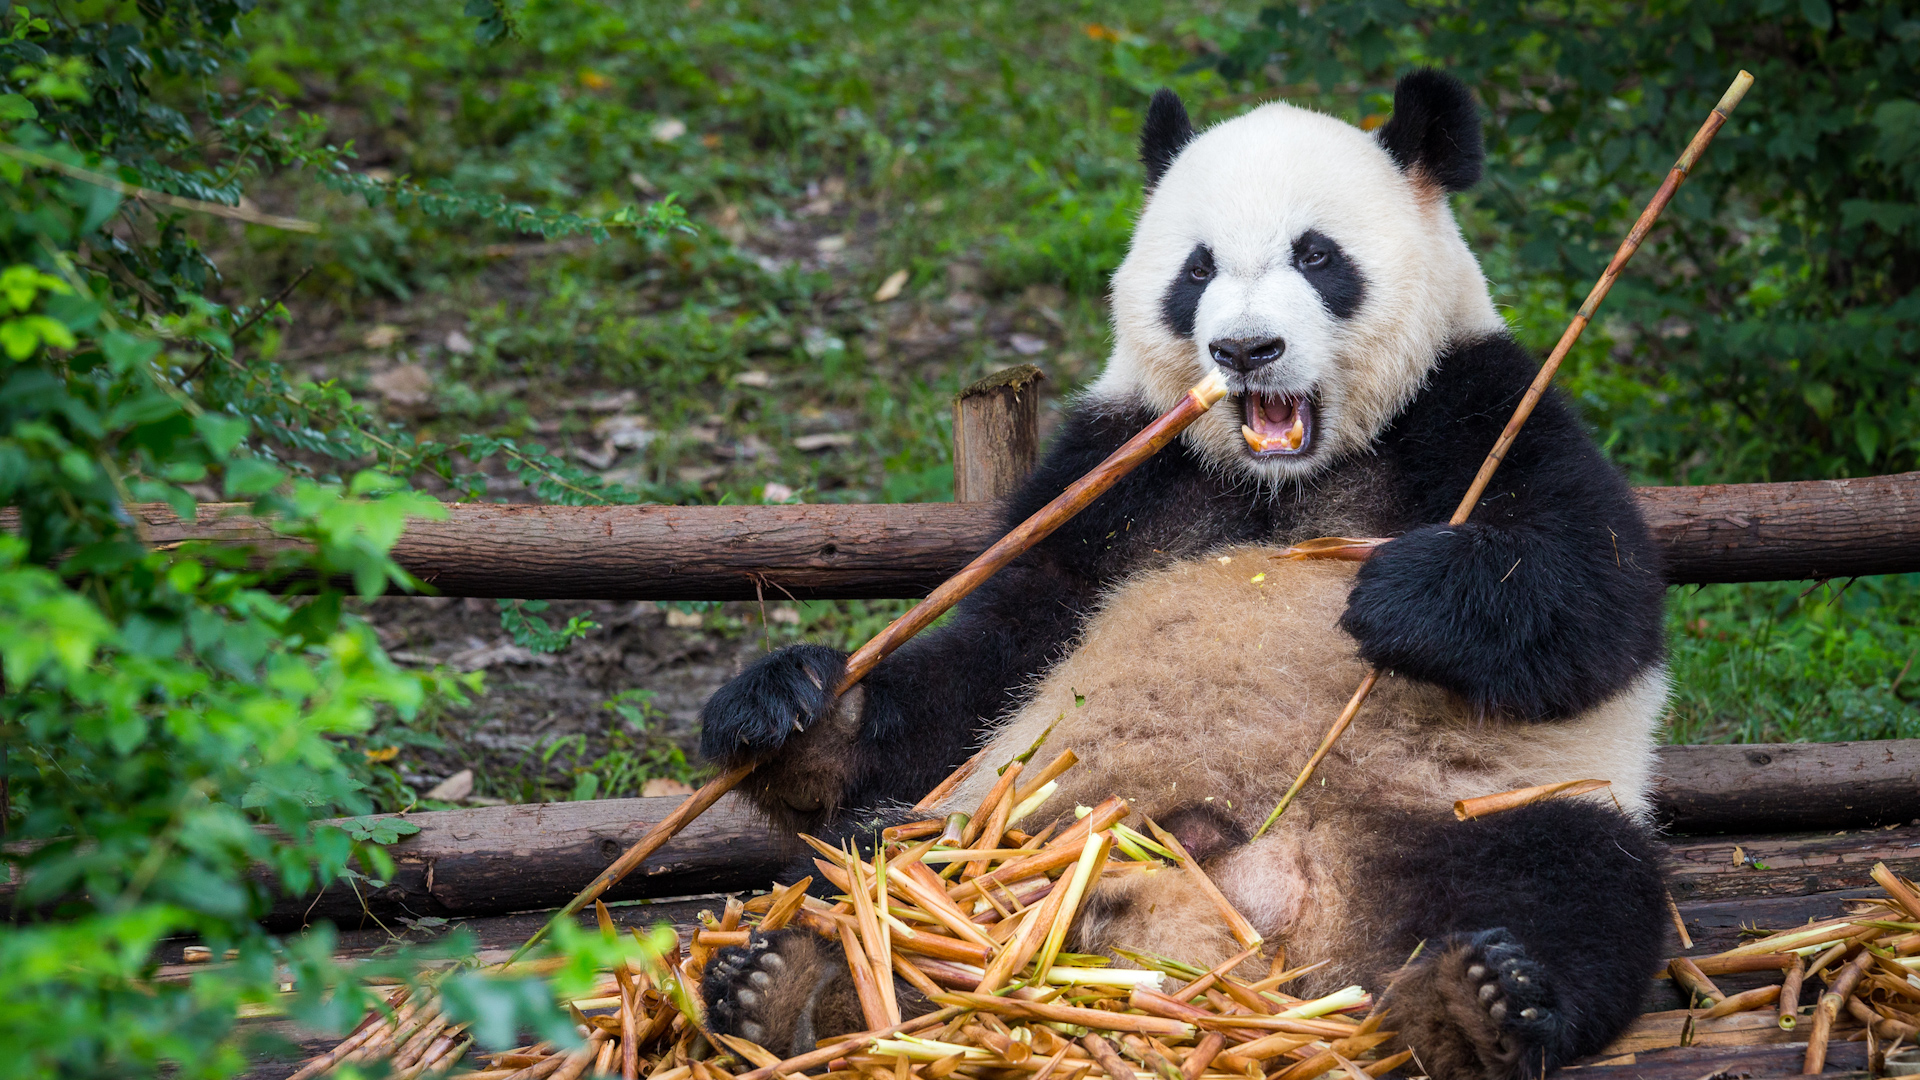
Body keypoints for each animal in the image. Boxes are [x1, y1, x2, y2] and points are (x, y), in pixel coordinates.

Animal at [698, 69, 1674, 1076]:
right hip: (1002, 821)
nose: (1245, 350)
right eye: (1197, 270)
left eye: (1316, 255)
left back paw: (1485, 1003)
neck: (1279, 478)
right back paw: (785, 985)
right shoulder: (1112, 467)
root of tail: (1253, 912)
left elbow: (1597, 593)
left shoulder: (1479, 401)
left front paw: (1397, 598)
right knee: (860, 868)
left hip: (1463, 807)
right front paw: (791, 710)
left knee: (1573, 878)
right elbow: (999, 649)